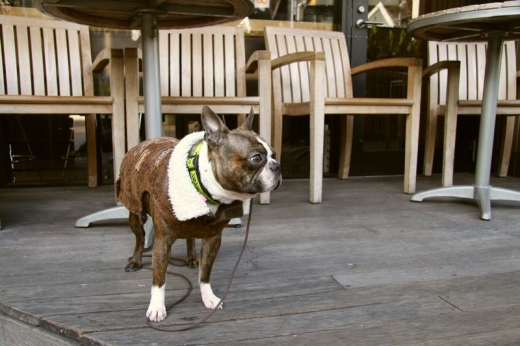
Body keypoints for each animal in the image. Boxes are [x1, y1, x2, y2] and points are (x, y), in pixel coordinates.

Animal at [116, 106, 282, 322]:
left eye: (274, 154)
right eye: (256, 158)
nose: (277, 165)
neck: (204, 187)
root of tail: (145, 141)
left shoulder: (213, 238)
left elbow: (205, 274)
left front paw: (209, 298)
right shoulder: (162, 241)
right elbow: (159, 279)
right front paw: (157, 307)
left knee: (190, 237)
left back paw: (192, 258)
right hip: (135, 212)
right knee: (139, 238)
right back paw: (135, 261)